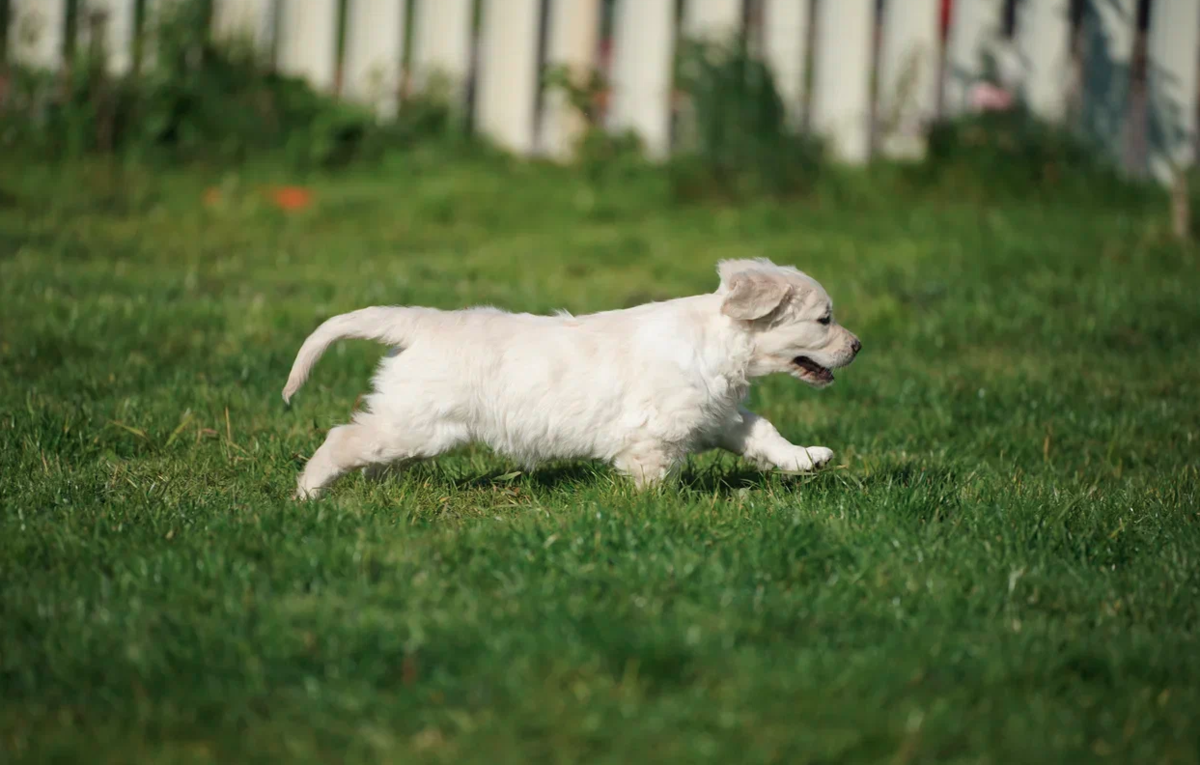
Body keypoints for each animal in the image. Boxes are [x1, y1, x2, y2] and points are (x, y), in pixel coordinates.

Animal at [284, 257, 859, 501]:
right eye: (825, 320)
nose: (858, 346)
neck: (715, 342)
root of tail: (423, 323)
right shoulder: (654, 435)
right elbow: (655, 480)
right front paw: (663, 516)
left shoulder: (716, 416)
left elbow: (763, 432)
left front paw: (806, 458)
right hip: (414, 423)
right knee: (341, 439)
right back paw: (309, 495)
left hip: (415, 427)